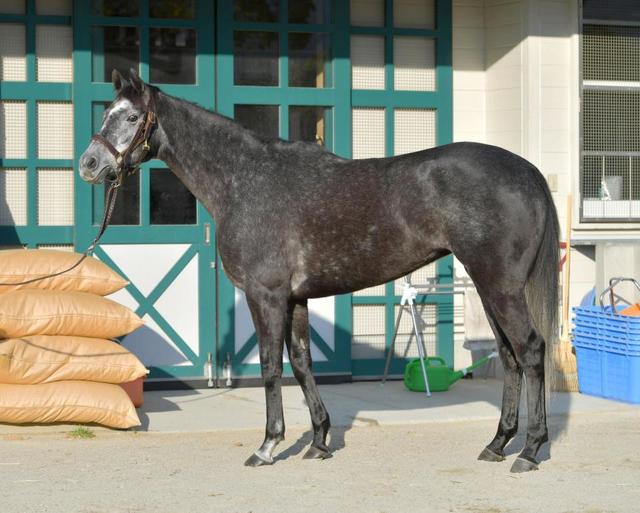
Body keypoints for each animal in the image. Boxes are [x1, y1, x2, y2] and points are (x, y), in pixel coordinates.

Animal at [79, 69, 559, 473]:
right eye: (105, 114)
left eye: (131, 116)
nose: (88, 164)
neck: (245, 180)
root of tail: (527, 171)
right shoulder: (295, 298)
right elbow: (302, 363)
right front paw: (319, 441)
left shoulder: (266, 295)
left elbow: (270, 365)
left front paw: (268, 446)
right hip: (488, 286)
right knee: (510, 357)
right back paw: (497, 445)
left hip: (500, 287)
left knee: (531, 350)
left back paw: (530, 450)